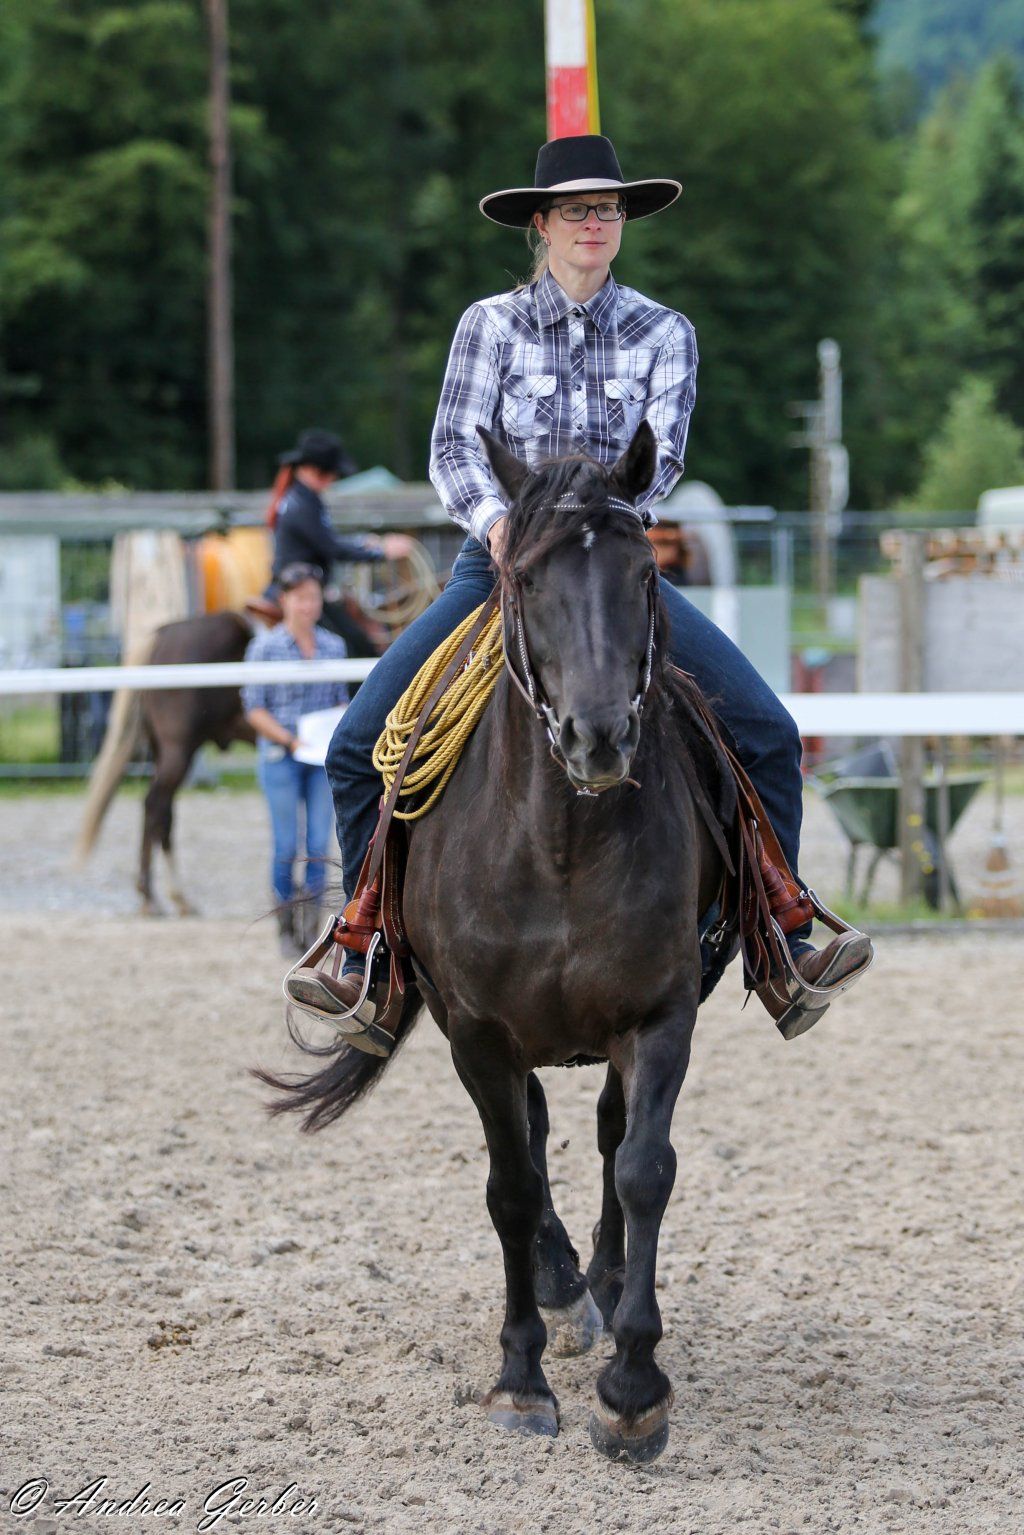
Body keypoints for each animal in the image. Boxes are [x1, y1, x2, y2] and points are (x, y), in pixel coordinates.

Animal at [258, 421, 734, 1463]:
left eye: (646, 571)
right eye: (524, 576)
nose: (599, 735)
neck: (558, 842)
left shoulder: (662, 1014)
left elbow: (645, 1167)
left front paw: (633, 1388)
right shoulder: (476, 1029)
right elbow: (510, 1186)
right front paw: (521, 1379)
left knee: (603, 1134)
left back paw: (597, 1287)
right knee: (536, 1131)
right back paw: (557, 1284)